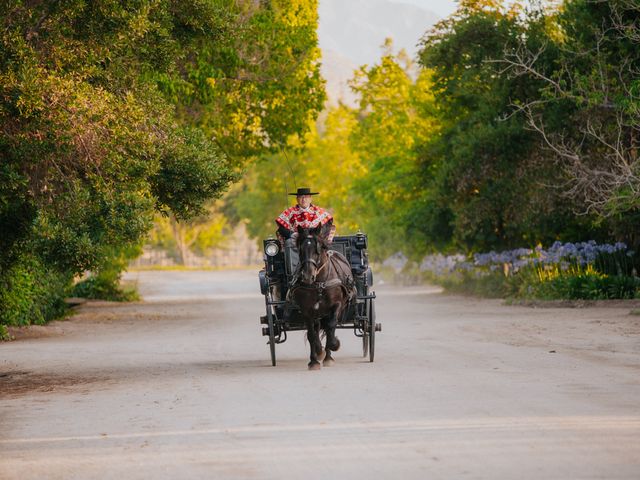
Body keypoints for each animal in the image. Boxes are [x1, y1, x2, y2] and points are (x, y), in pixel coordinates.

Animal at [290, 226, 356, 372]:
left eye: (318, 249)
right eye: (301, 249)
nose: (308, 276)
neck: (319, 283)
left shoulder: (336, 305)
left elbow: (331, 327)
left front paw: (334, 345)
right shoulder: (306, 310)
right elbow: (311, 334)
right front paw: (314, 360)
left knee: (328, 327)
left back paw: (328, 357)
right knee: (317, 328)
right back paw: (320, 352)